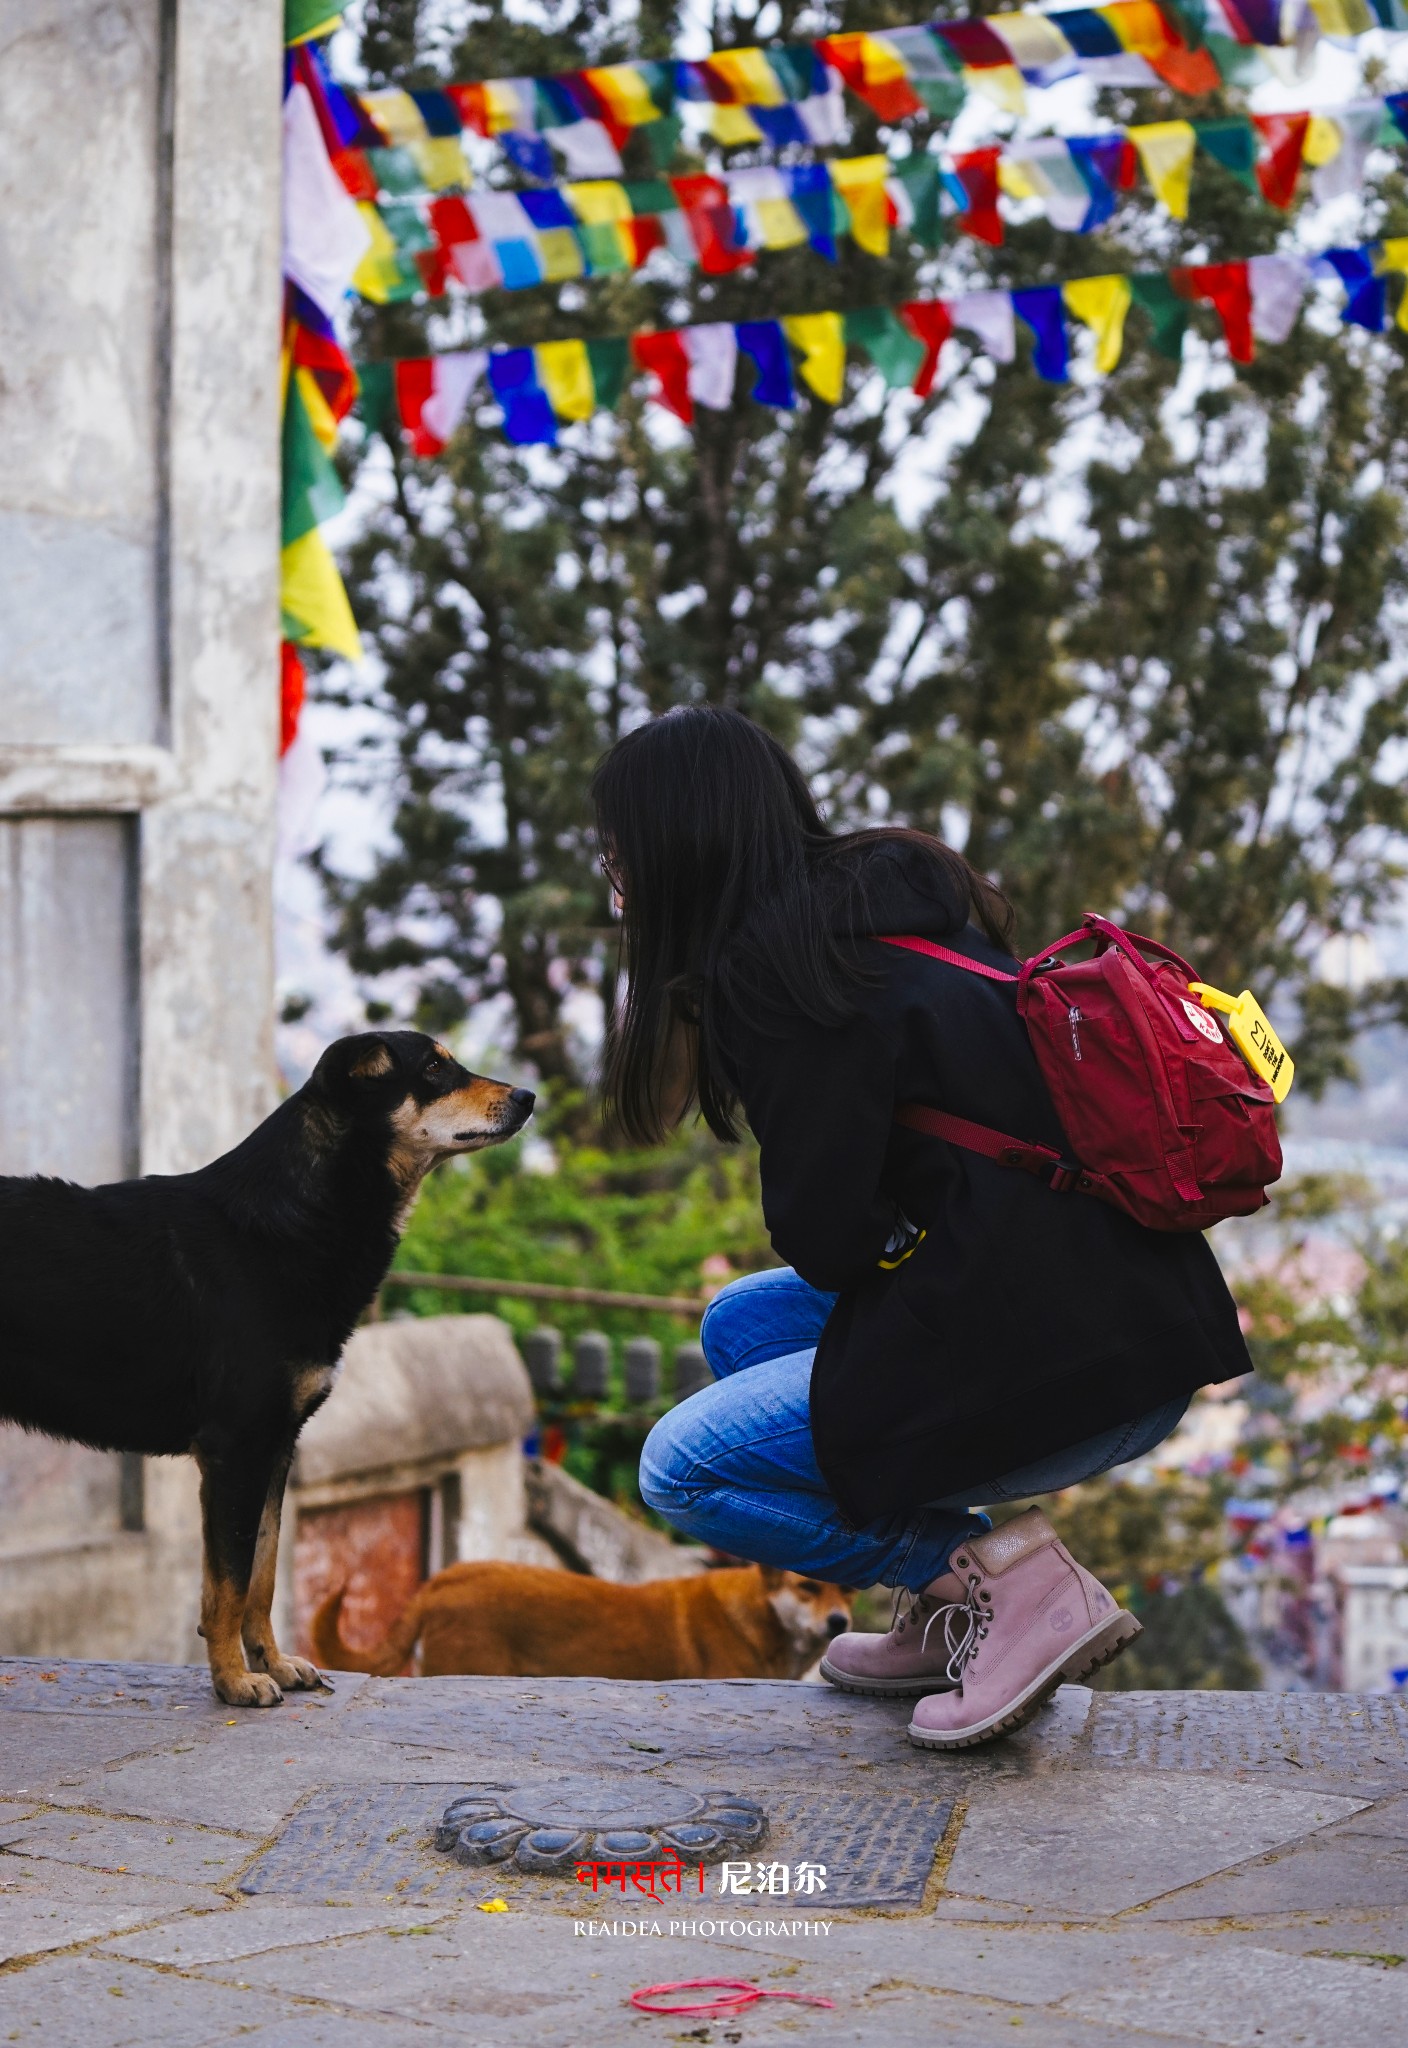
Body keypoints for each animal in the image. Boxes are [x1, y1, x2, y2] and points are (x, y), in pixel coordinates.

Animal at [0, 1032, 532, 1703]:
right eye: (434, 1068)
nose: (529, 1097)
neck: (293, 1217)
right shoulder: (237, 1448)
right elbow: (228, 1585)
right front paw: (234, 1681)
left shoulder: (277, 1446)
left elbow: (262, 1572)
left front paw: (272, 1664)